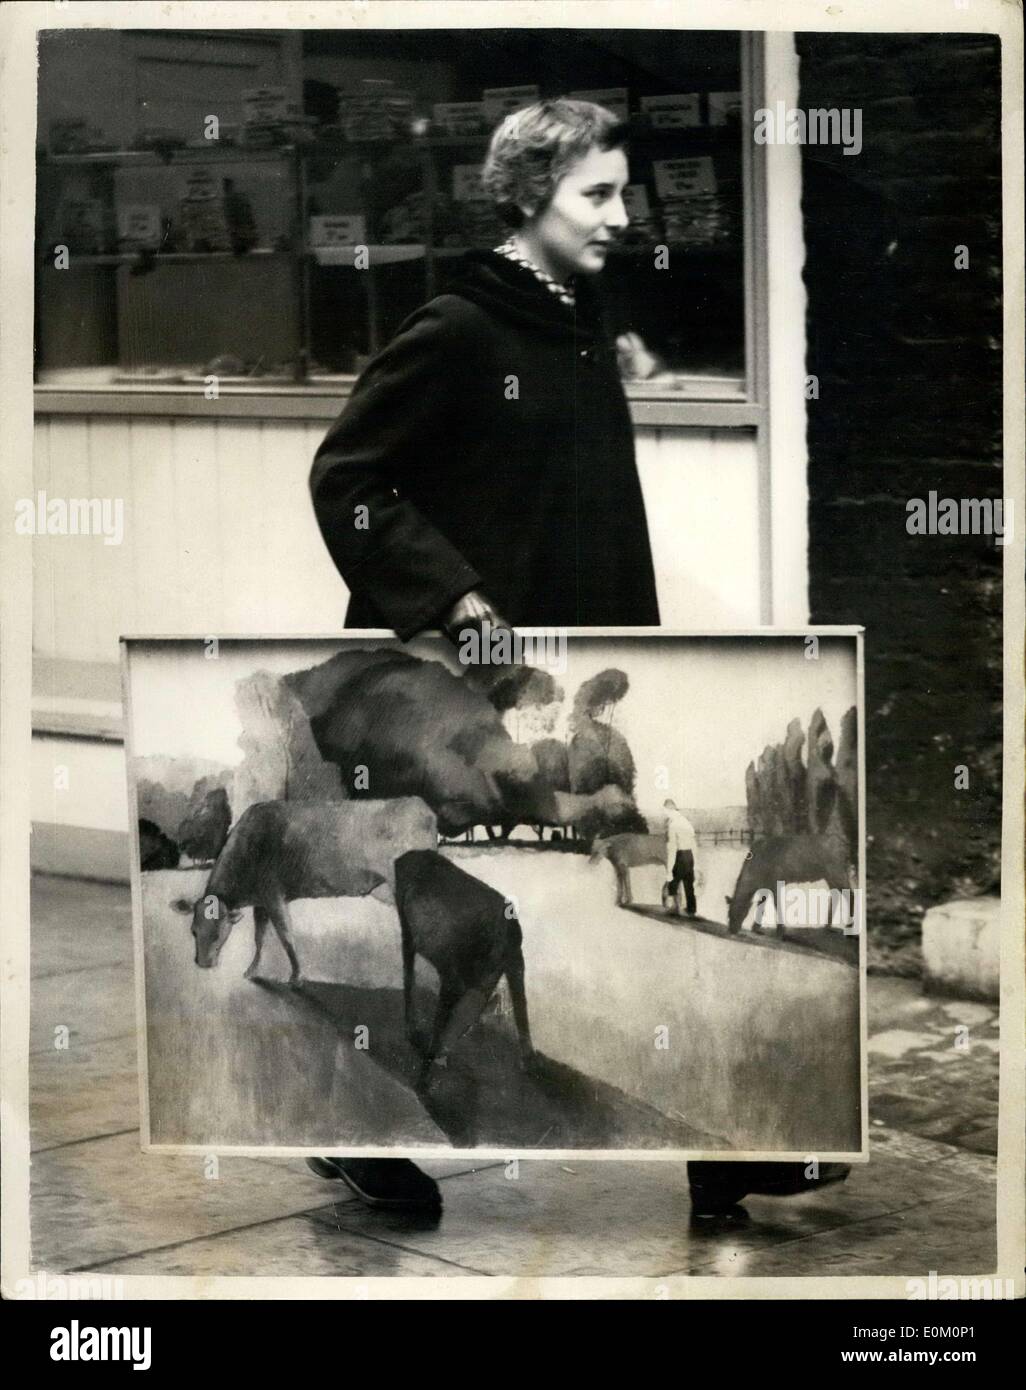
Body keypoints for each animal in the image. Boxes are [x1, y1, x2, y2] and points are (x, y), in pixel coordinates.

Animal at [171, 795, 430, 989]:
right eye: (193, 931)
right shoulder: (261, 901)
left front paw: (296, 976)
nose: (203, 963)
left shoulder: (274, 896)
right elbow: (259, 937)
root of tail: (420, 804)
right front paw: (252, 970)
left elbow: (286, 936)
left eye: (217, 934)